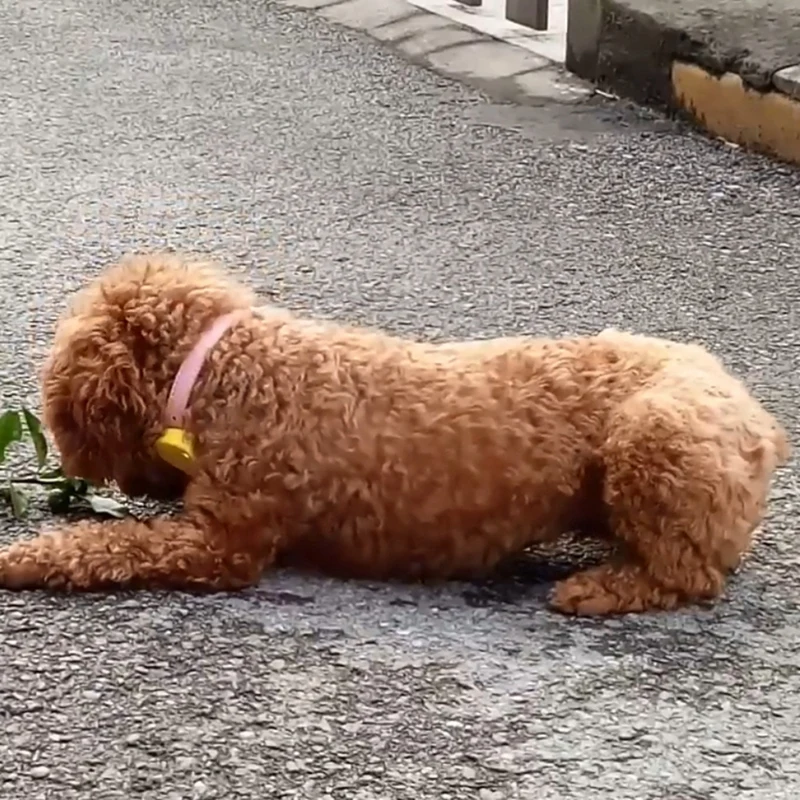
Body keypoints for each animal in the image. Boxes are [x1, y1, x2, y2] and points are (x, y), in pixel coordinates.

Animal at [0, 253, 788, 616]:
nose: (76, 467)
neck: (232, 366)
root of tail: (762, 420)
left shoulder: (222, 545)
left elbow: (111, 546)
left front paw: (28, 556)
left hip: (652, 435)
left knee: (689, 574)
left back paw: (600, 588)